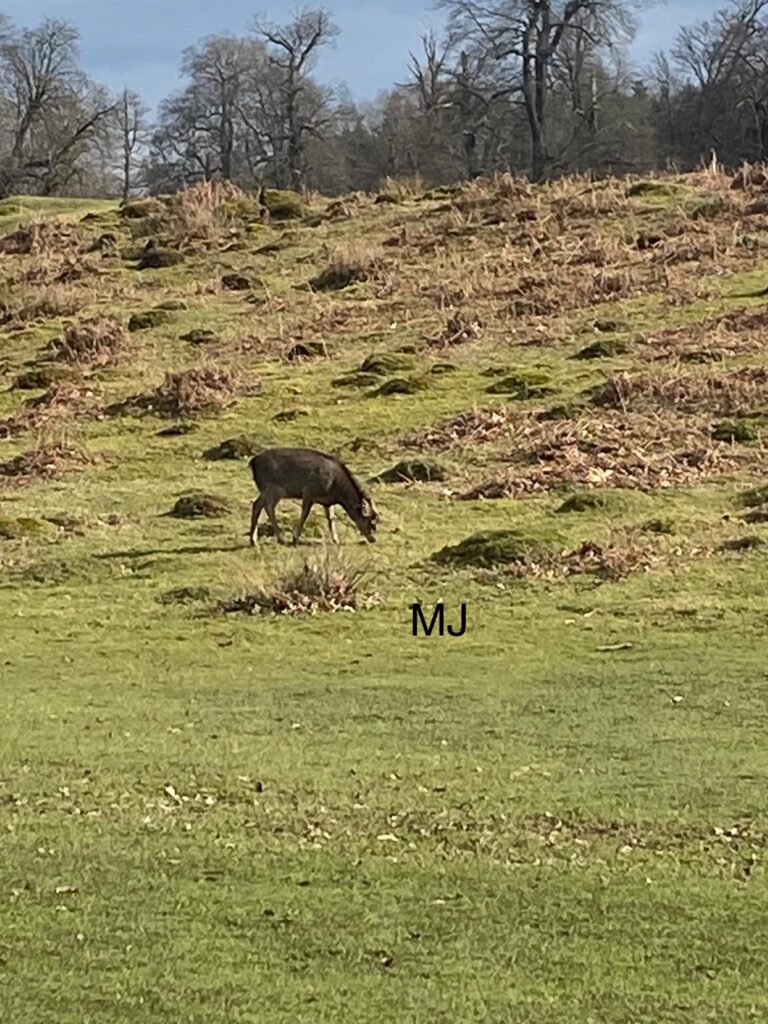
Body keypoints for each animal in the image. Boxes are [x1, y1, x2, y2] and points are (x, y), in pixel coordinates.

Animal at [248, 447, 378, 546]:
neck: (336, 490)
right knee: (268, 507)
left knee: (256, 504)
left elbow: (331, 518)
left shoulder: (327, 502)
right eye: (369, 520)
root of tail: (252, 462)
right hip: (275, 488)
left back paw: (253, 540)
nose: (373, 539)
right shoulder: (308, 491)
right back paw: (281, 538)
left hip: (265, 490)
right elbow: (305, 514)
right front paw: (295, 538)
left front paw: (336, 540)